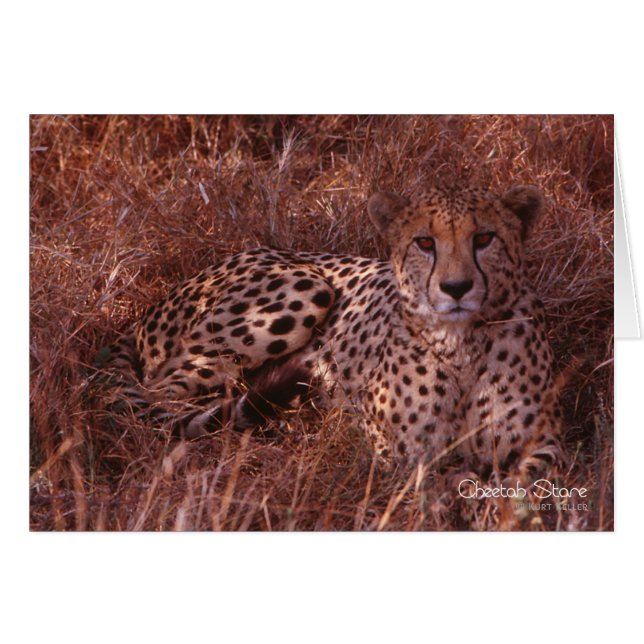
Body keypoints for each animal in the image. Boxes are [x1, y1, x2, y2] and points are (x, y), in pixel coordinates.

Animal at [101, 183, 564, 476]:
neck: (461, 344)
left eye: (484, 238)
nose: (456, 288)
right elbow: (443, 480)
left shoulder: (546, 443)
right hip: (305, 288)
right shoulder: (397, 451)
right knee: (160, 398)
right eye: (425, 243)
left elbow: (527, 483)